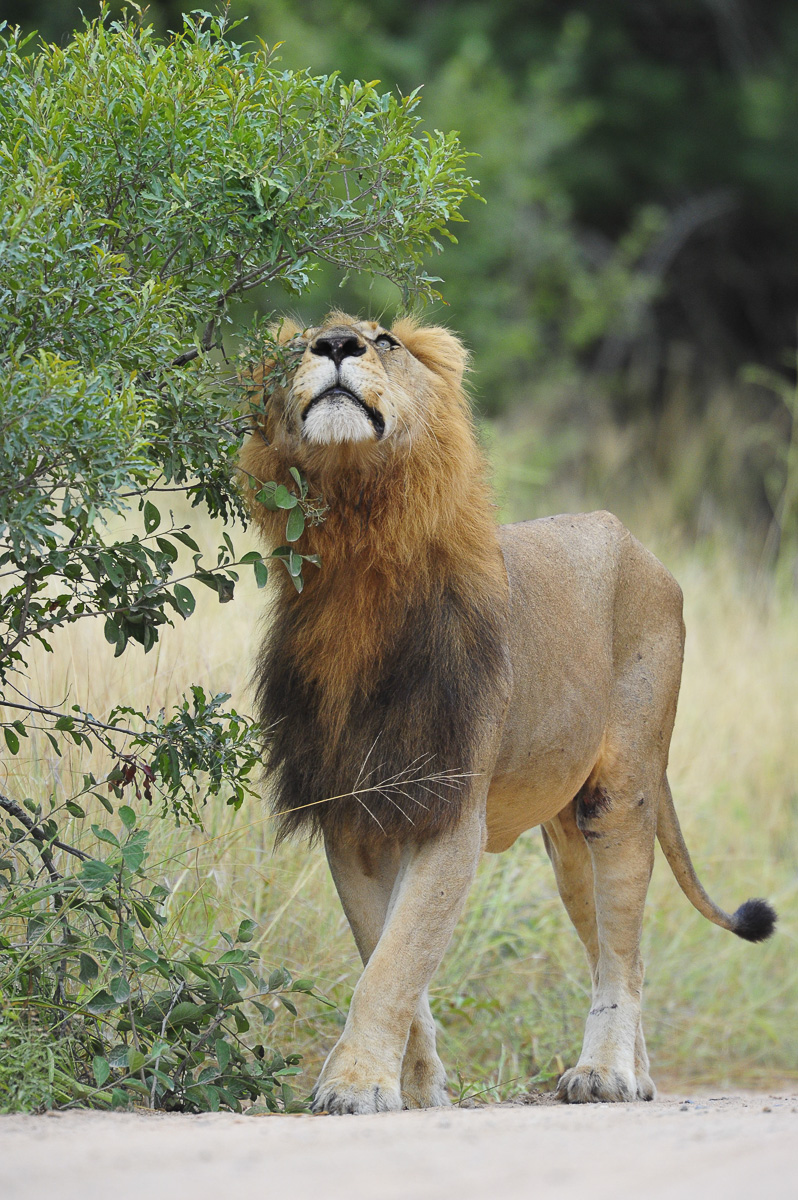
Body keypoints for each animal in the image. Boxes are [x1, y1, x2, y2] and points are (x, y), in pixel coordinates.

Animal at [240, 312, 776, 1114]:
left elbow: (392, 966)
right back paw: (639, 1074)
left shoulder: (449, 809)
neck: (360, 551)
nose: (335, 345)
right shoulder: (354, 815)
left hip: (621, 794)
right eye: (299, 342)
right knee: (614, 950)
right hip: (568, 841)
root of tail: (640, 547)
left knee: (622, 952)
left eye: (384, 340)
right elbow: (388, 959)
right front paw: (418, 1087)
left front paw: (356, 1084)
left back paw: (605, 1075)